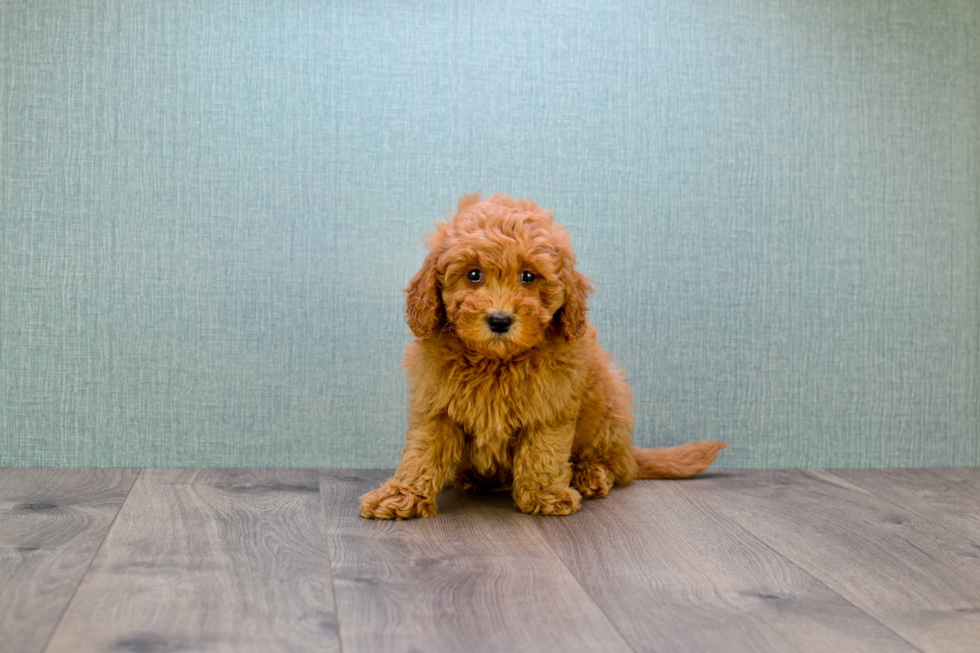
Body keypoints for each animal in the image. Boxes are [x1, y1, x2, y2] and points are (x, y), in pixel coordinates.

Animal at [360, 194, 728, 520]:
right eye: (473, 274)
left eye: (528, 276)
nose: (500, 320)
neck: (496, 360)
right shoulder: (437, 406)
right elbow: (421, 454)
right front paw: (400, 497)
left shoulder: (550, 405)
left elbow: (543, 451)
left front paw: (545, 496)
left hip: (610, 408)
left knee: (614, 463)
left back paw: (589, 475)